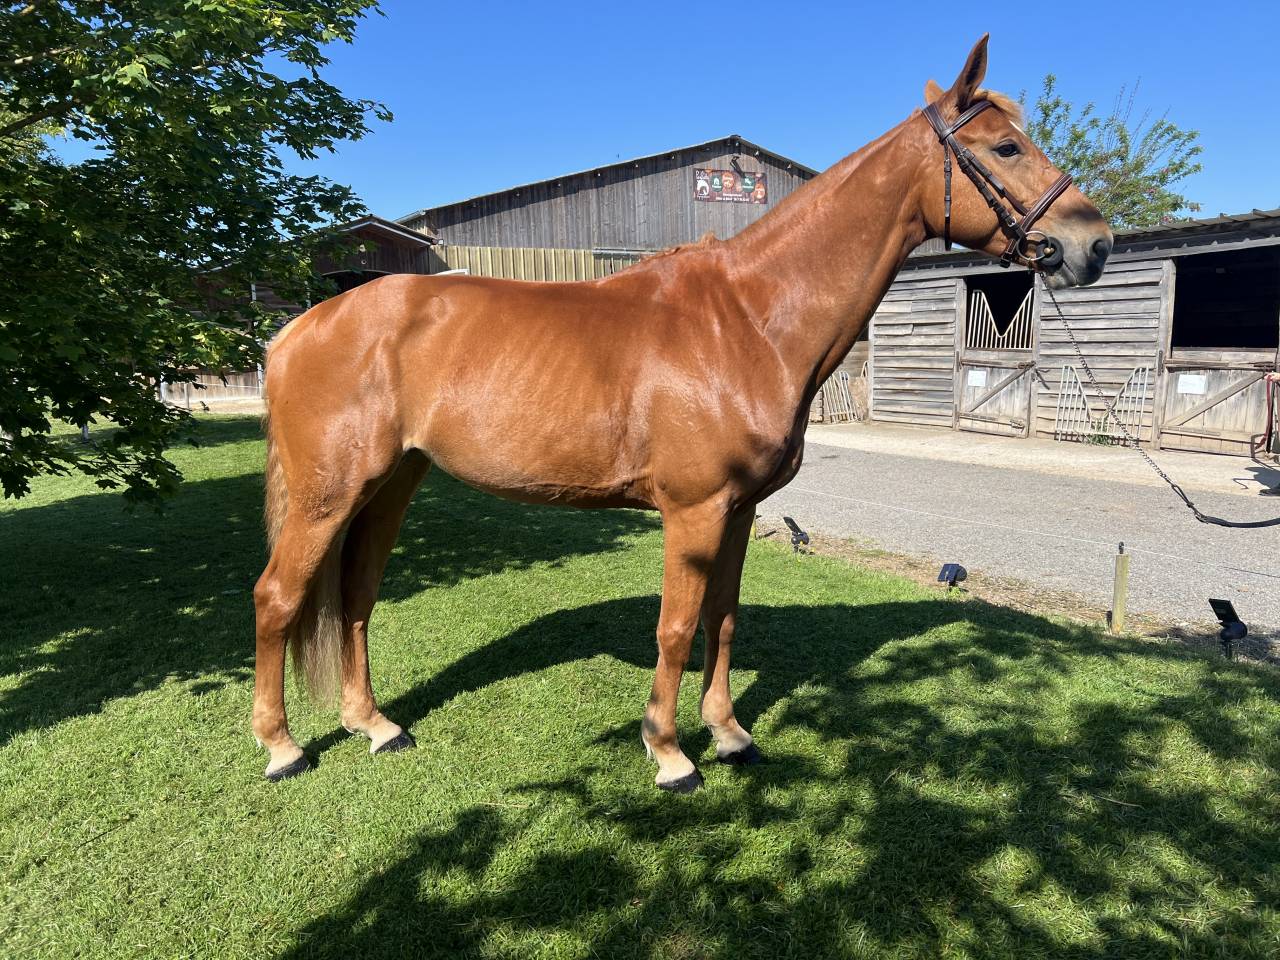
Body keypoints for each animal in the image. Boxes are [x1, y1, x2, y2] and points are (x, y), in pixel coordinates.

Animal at [253, 36, 1113, 791]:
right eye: (1005, 148)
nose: (1093, 243)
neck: (749, 320)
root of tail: (299, 327)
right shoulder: (693, 511)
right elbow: (674, 625)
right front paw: (669, 753)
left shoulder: (739, 511)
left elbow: (722, 619)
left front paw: (728, 732)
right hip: (330, 494)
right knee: (278, 598)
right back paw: (283, 746)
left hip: (389, 486)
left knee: (355, 597)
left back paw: (375, 725)